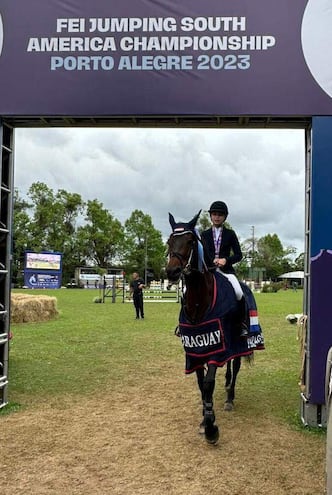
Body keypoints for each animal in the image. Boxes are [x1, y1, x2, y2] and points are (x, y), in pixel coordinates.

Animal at [166, 211, 264, 444]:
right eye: (169, 241)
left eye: (191, 241)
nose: (172, 271)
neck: (199, 302)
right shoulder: (195, 350)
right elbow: (201, 384)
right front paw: (204, 418)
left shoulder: (215, 348)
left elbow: (209, 383)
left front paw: (211, 426)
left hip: (239, 343)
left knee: (235, 367)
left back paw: (230, 398)